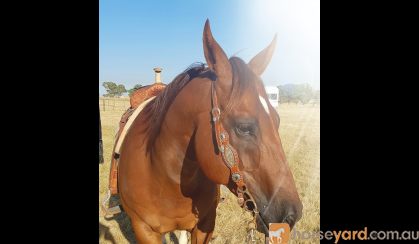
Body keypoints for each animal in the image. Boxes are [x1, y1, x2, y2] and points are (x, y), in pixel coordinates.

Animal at [118, 20, 302, 243]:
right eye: (244, 127)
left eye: (277, 120)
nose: (292, 214)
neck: (161, 174)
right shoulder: (144, 230)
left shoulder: (205, 225)